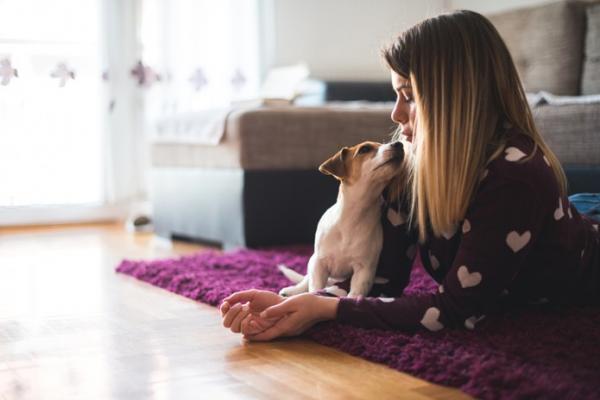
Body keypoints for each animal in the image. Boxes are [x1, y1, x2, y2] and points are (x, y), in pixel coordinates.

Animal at [278, 140, 406, 296]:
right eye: (365, 149)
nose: (399, 144)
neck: (352, 218)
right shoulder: (319, 263)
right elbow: (314, 287)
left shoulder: (364, 269)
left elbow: (356, 292)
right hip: (312, 261)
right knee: (306, 280)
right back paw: (292, 291)